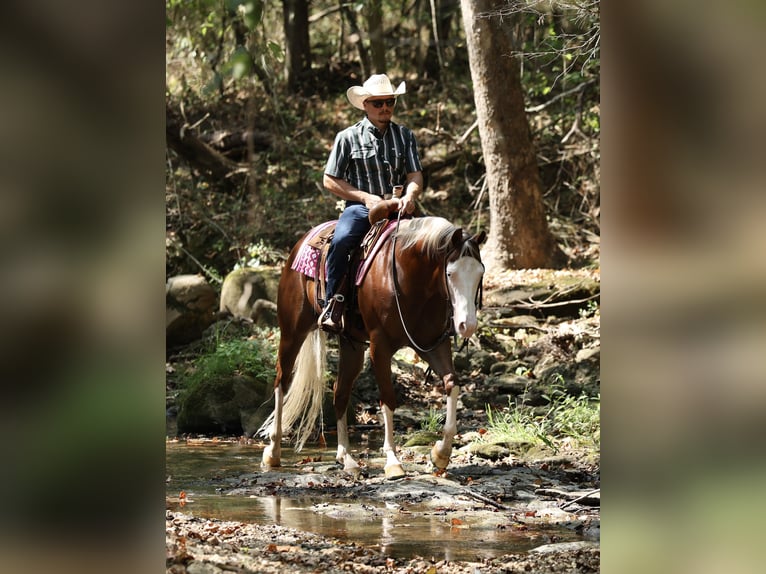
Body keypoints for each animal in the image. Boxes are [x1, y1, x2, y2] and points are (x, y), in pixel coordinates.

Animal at [259, 215, 486, 479]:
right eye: (450, 273)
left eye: (480, 273)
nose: (467, 325)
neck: (413, 279)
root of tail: (301, 242)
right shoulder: (380, 345)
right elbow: (387, 398)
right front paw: (392, 461)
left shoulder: (432, 345)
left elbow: (452, 384)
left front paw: (440, 454)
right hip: (292, 332)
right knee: (282, 381)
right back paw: (273, 452)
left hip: (352, 346)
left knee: (340, 391)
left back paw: (346, 458)